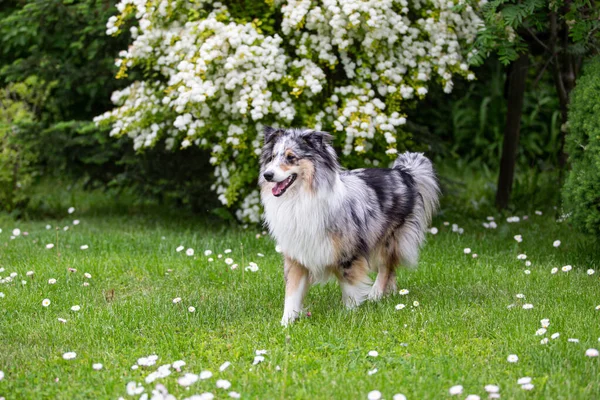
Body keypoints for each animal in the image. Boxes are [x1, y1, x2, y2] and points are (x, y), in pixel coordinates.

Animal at [258, 127, 440, 324]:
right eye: (272, 157)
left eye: (291, 157)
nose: (267, 175)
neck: (300, 198)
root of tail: (402, 172)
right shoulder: (296, 255)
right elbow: (292, 292)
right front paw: (286, 322)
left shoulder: (348, 254)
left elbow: (350, 288)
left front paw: (349, 315)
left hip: (388, 240)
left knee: (386, 267)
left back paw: (375, 295)